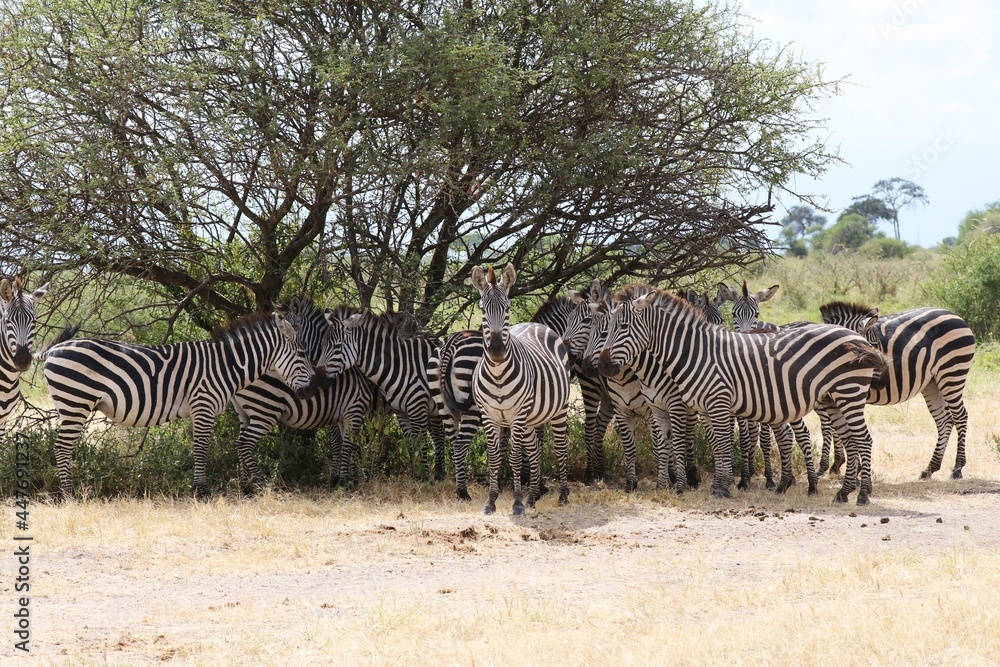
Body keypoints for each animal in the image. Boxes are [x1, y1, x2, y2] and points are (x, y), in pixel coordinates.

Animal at [42, 312, 316, 499]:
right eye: (302, 354)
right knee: (62, 447)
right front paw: (202, 490)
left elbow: (203, 448)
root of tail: (54, 349)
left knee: (62, 446)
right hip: (76, 402)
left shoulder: (203, 409)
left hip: (70, 405)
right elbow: (201, 448)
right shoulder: (203, 405)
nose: (314, 387)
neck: (227, 365)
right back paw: (70, 495)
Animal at [231, 298, 379, 491]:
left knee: (240, 441)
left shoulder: (340, 412)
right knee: (244, 443)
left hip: (244, 413)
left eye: (293, 326)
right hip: (264, 410)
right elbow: (339, 443)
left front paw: (348, 478)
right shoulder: (342, 409)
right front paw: (339, 479)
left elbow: (346, 443)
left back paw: (244, 487)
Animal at [471, 264, 572, 515]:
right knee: (535, 450)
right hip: (530, 418)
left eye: (507, 308)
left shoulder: (516, 415)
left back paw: (563, 495)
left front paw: (516, 503)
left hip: (559, 409)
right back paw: (533, 497)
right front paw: (491, 501)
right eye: (482, 309)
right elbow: (495, 458)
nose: (497, 351)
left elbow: (515, 458)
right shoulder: (489, 415)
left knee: (560, 447)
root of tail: (536, 324)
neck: (498, 374)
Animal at [598, 285, 886, 504]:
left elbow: (724, 444)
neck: (695, 352)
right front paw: (717, 485)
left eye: (623, 326)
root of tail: (856, 335)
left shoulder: (717, 403)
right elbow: (716, 445)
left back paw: (861, 495)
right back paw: (843, 492)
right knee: (850, 440)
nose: (602, 366)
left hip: (848, 392)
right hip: (833, 398)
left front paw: (723, 488)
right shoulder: (704, 409)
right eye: (607, 328)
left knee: (863, 439)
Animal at [819, 301, 976, 480]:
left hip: (952, 373)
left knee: (960, 416)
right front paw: (838, 465)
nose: (883, 380)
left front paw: (838, 466)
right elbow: (836, 428)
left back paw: (957, 467)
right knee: (945, 420)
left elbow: (834, 428)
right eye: (873, 346)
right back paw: (930, 468)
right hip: (932, 382)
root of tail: (955, 316)